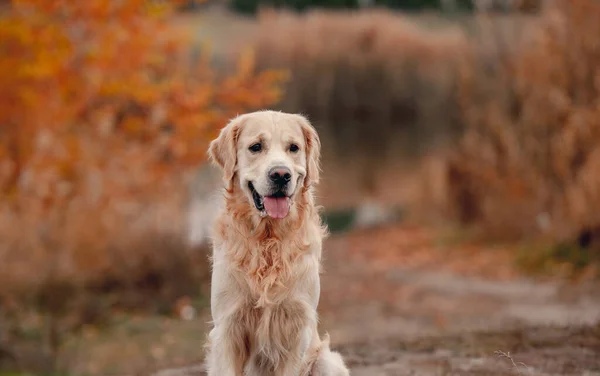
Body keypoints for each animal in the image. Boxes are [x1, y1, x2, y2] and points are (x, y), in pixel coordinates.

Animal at [204, 111, 350, 376]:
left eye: (293, 148)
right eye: (255, 147)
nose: (281, 174)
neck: (268, 240)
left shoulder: (296, 329)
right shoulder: (228, 326)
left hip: (327, 362)